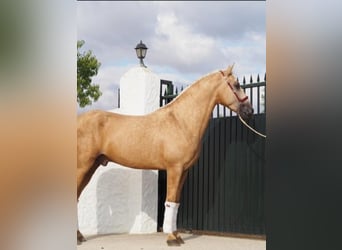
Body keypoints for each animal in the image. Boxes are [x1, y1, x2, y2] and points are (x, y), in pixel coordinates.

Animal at [78, 65, 254, 246]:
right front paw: (171, 238)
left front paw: (177, 236)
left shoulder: (183, 171)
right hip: (83, 166)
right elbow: (169, 201)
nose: (250, 111)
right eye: (237, 85)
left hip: (91, 167)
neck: (180, 121)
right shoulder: (174, 169)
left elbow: (175, 202)